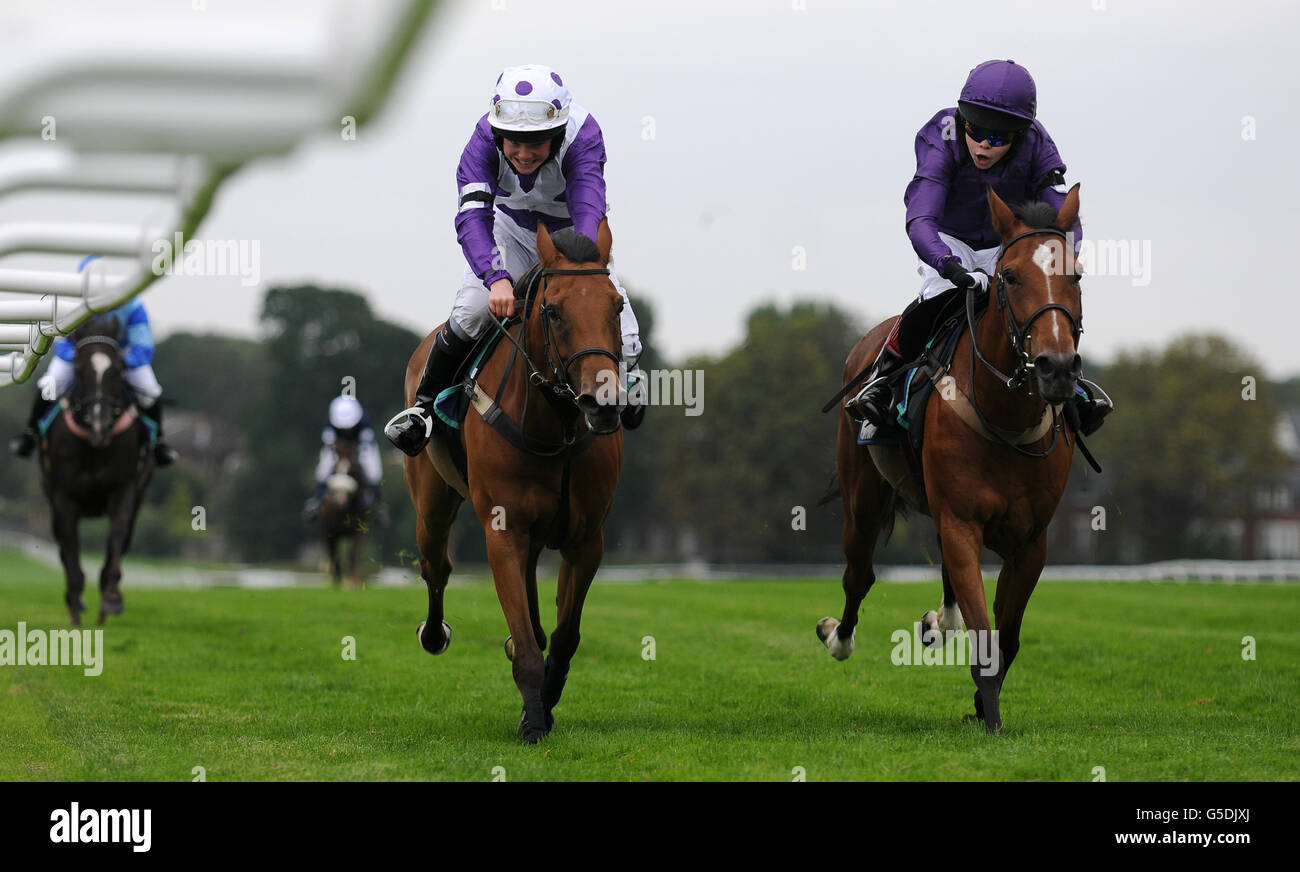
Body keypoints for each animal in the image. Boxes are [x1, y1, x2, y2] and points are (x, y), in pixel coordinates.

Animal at [38, 317, 156, 623]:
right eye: (79, 370)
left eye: (118, 370)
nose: (99, 425)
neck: (93, 447)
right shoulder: (63, 498)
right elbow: (69, 549)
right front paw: (75, 604)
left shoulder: (124, 490)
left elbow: (117, 536)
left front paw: (110, 598)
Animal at [321, 436, 371, 587]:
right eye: (335, 468)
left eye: (352, 468)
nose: (339, 499)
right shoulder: (331, 531)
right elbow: (335, 557)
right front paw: (338, 584)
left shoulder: (359, 529)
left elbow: (353, 555)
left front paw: (354, 582)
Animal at [397, 219, 626, 743]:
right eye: (554, 311)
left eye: (617, 306)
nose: (602, 403)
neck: (556, 427)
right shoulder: (502, 531)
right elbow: (524, 643)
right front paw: (534, 721)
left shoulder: (587, 537)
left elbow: (565, 635)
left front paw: (545, 701)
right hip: (432, 503)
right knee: (437, 566)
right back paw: (434, 633)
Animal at [821, 185, 1086, 738]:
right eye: (1011, 276)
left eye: (1075, 274)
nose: (1056, 367)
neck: (1005, 416)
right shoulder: (962, 521)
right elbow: (985, 633)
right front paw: (991, 719)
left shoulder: (1031, 541)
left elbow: (1008, 637)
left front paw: (983, 705)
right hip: (863, 500)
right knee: (859, 575)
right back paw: (839, 636)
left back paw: (939, 622)